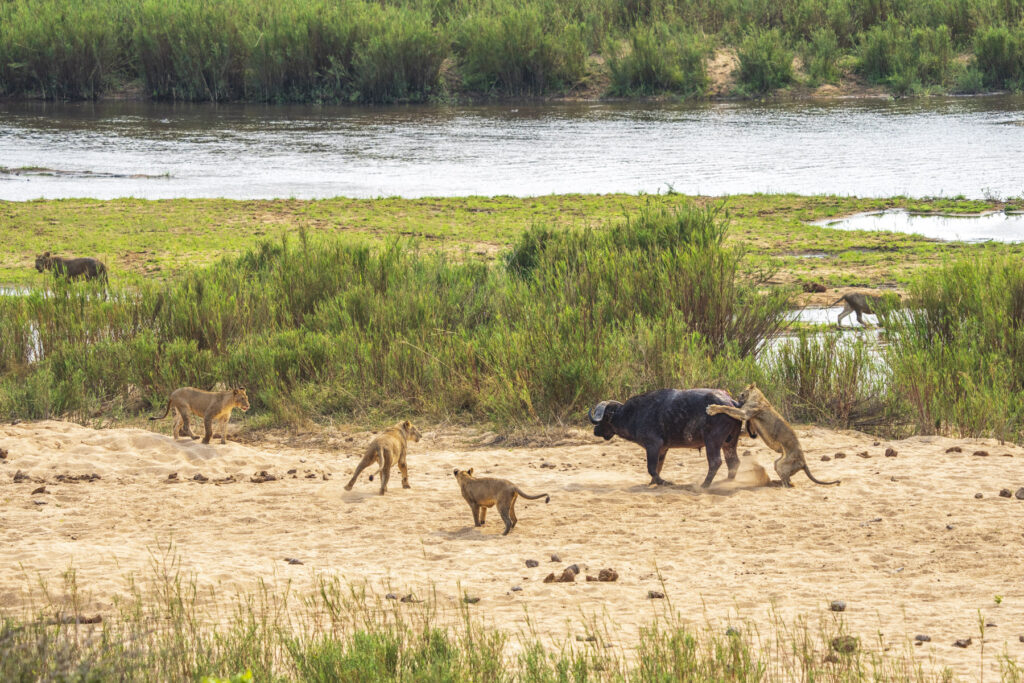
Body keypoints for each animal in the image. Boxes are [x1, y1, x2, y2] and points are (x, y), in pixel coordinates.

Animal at [589, 389, 749, 485]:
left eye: (603, 418)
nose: (595, 430)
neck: (634, 414)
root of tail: (731, 402)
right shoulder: (663, 449)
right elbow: (658, 467)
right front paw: (652, 483)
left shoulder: (653, 445)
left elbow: (651, 468)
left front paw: (663, 482)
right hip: (729, 443)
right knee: (733, 462)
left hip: (712, 442)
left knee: (715, 462)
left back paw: (704, 485)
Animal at [704, 382, 839, 489]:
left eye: (741, 393)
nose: (737, 398)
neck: (758, 396)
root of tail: (804, 463)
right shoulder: (751, 427)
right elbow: (743, 431)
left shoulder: (745, 413)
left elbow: (727, 408)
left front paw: (712, 408)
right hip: (777, 463)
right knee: (789, 480)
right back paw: (775, 482)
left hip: (782, 465)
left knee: (788, 484)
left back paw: (778, 485)